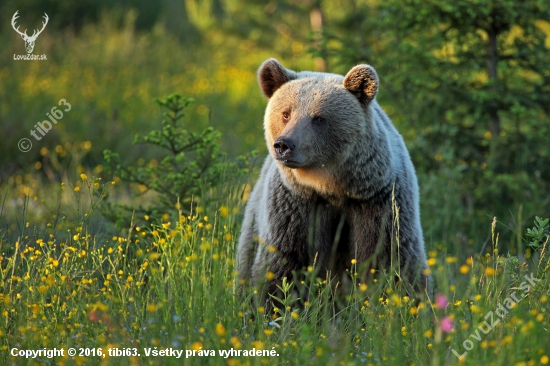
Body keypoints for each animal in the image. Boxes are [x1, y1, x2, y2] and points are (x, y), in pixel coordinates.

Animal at [237, 58, 432, 304]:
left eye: (319, 118)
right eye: (286, 113)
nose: (284, 145)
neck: (331, 186)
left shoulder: (377, 201)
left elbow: (389, 259)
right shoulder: (295, 205)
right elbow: (283, 264)